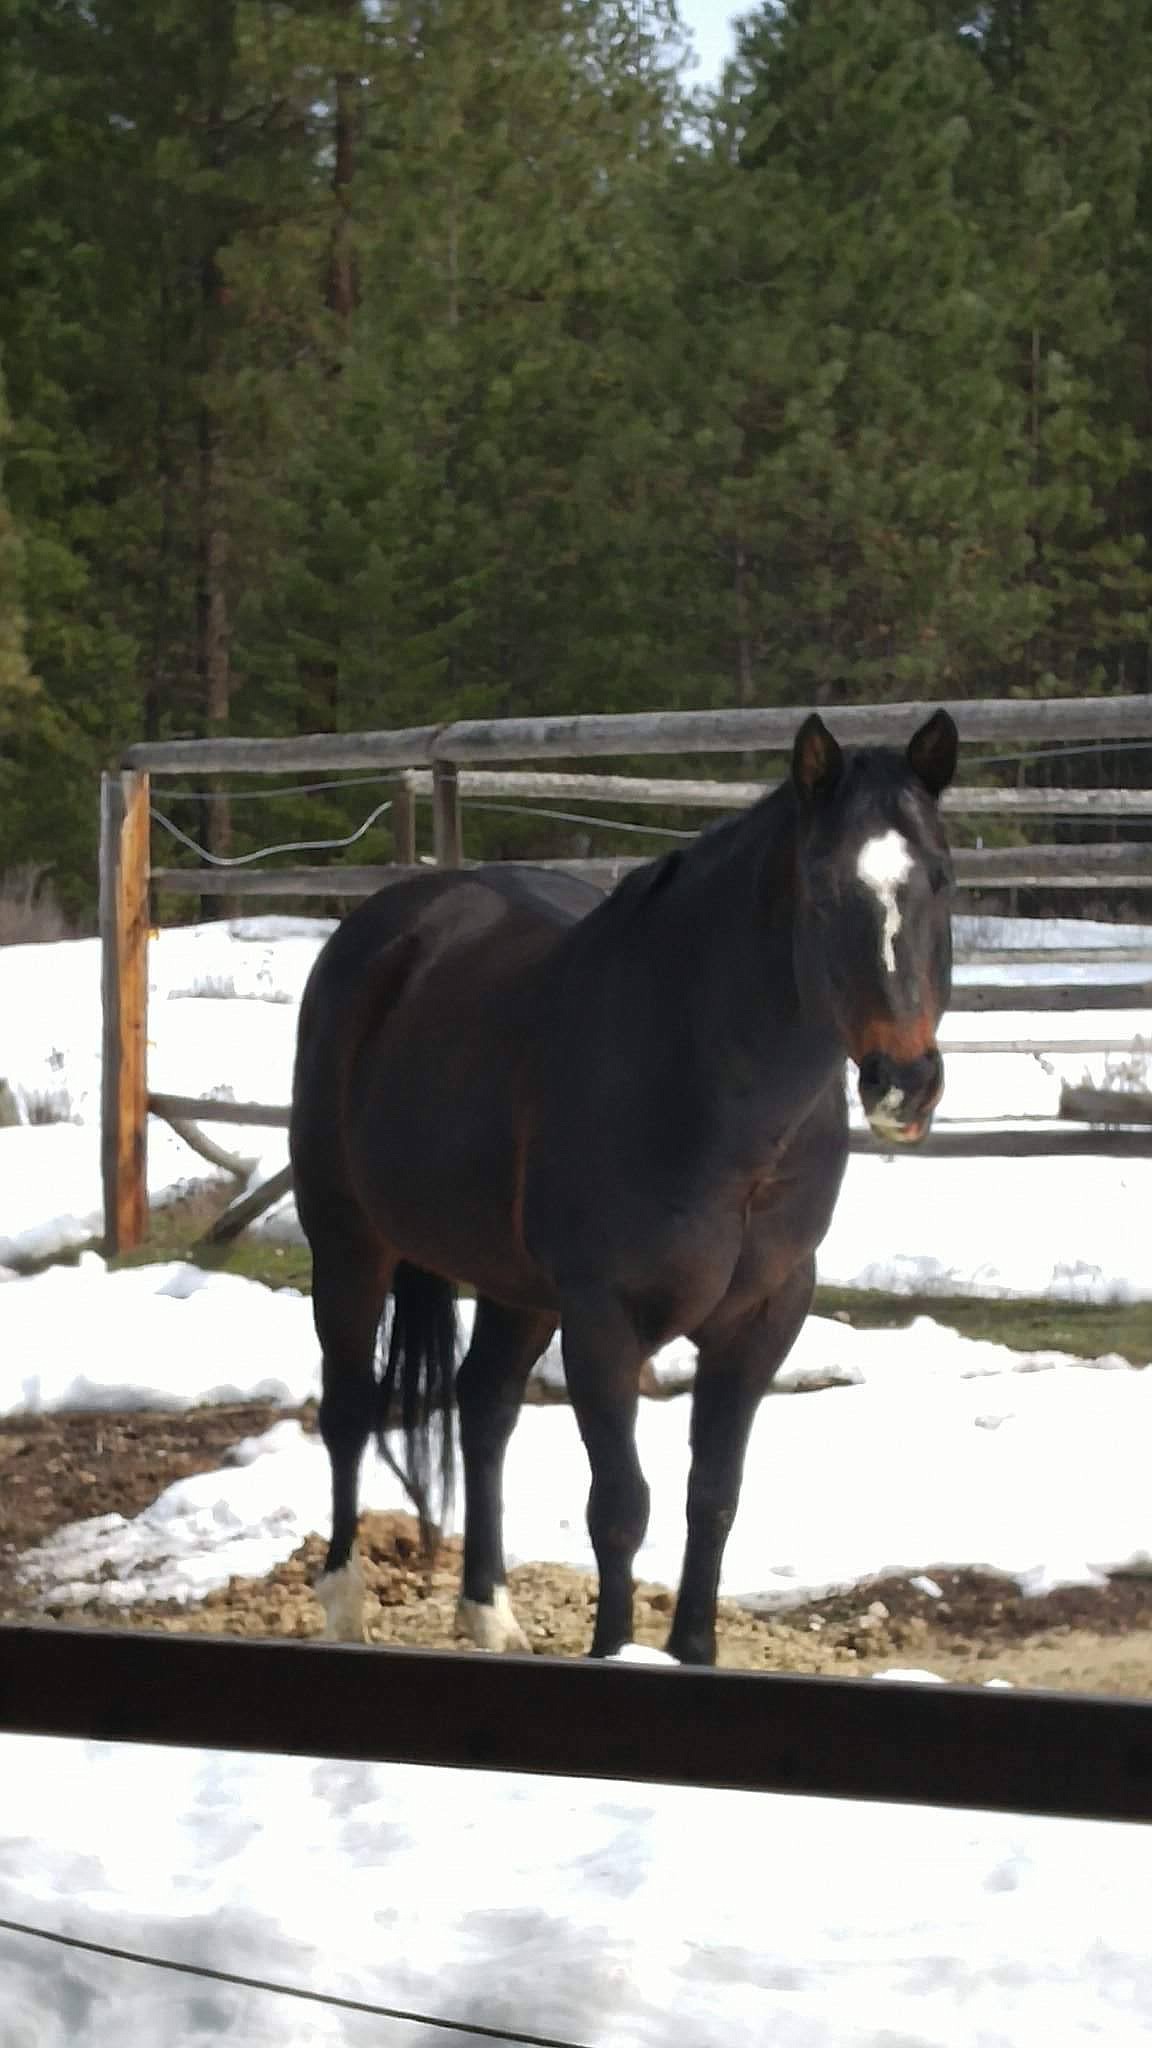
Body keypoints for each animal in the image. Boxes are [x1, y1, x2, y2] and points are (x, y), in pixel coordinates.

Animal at [291, 704, 955, 1662]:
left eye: (941, 878)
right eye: (825, 889)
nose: (905, 1082)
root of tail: (387, 929)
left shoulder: (765, 1316)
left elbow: (713, 1496)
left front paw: (694, 1650)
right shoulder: (604, 1319)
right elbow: (620, 1508)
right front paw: (616, 1648)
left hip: (515, 1287)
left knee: (484, 1409)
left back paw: (488, 1611)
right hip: (347, 1240)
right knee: (348, 1408)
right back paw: (345, 1604)